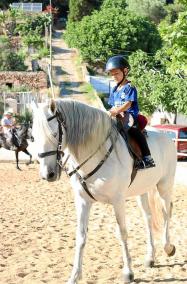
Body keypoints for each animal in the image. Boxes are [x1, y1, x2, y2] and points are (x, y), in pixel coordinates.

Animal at [31, 98, 177, 282]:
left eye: (55, 134)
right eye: (33, 137)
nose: (47, 174)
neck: (97, 153)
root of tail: (165, 135)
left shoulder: (118, 200)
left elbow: (122, 233)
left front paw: (128, 272)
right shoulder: (83, 201)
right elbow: (81, 236)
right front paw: (74, 276)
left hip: (165, 186)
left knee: (166, 213)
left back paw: (168, 247)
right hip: (142, 190)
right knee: (148, 218)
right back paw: (150, 257)